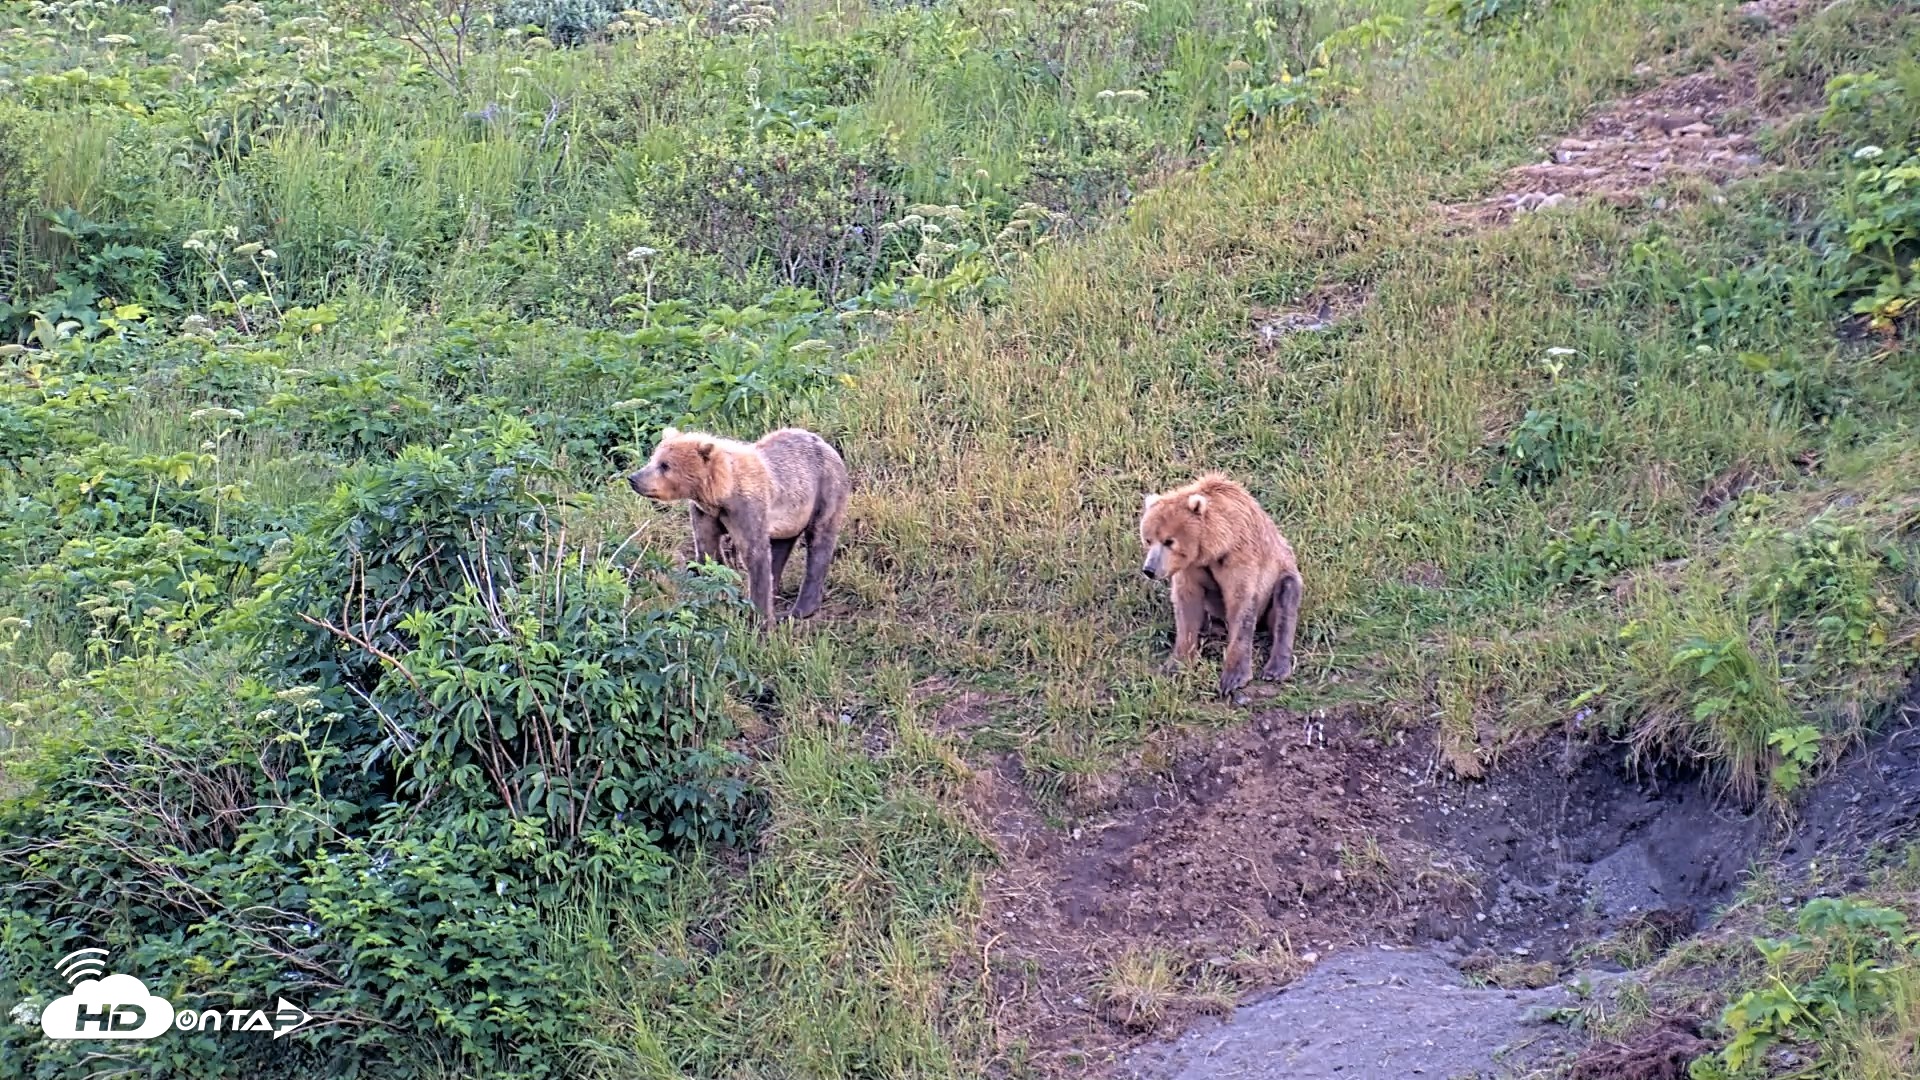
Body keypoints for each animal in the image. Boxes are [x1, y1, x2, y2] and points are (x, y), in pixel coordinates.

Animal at [628, 425, 851, 624]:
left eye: (665, 465)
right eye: (653, 458)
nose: (634, 478)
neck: (718, 494)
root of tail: (827, 445)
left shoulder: (746, 509)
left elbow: (755, 554)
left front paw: (761, 618)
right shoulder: (704, 513)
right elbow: (708, 550)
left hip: (825, 489)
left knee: (819, 542)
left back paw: (798, 610)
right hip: (792, 516)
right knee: (781, 547)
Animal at [1138, 473, 1303, 697]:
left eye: (1169, 541)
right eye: (1148, 540)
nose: (1149, 569)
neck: (1213, 547)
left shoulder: (1239, 556)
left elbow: (1241, 604)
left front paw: (1233, 677)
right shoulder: (1192, 569)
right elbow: (1186, 605)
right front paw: (1176, 664)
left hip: (1282, 573)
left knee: (1285, 604)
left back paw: (1276, 669)